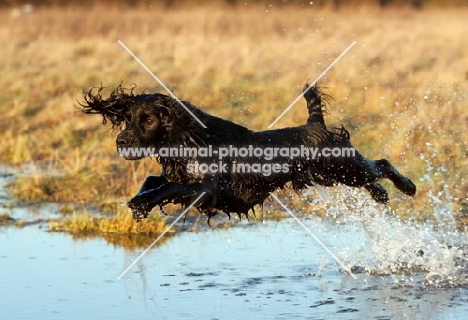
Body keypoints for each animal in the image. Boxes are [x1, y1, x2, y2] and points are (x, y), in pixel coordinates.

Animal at [81, 83, 416, 222]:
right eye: (126, 118)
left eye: (148, 120)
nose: (121, 141)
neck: (189, 137)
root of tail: (315, 125)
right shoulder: (176, 176)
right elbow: (152, 181)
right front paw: (139, 203)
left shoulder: (205, 189)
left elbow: (168, 188)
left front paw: (143, 203)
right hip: (331, 174)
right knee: (373, 177)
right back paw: (381, 195)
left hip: (343, 166)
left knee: (382, 164)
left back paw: (407, 186)